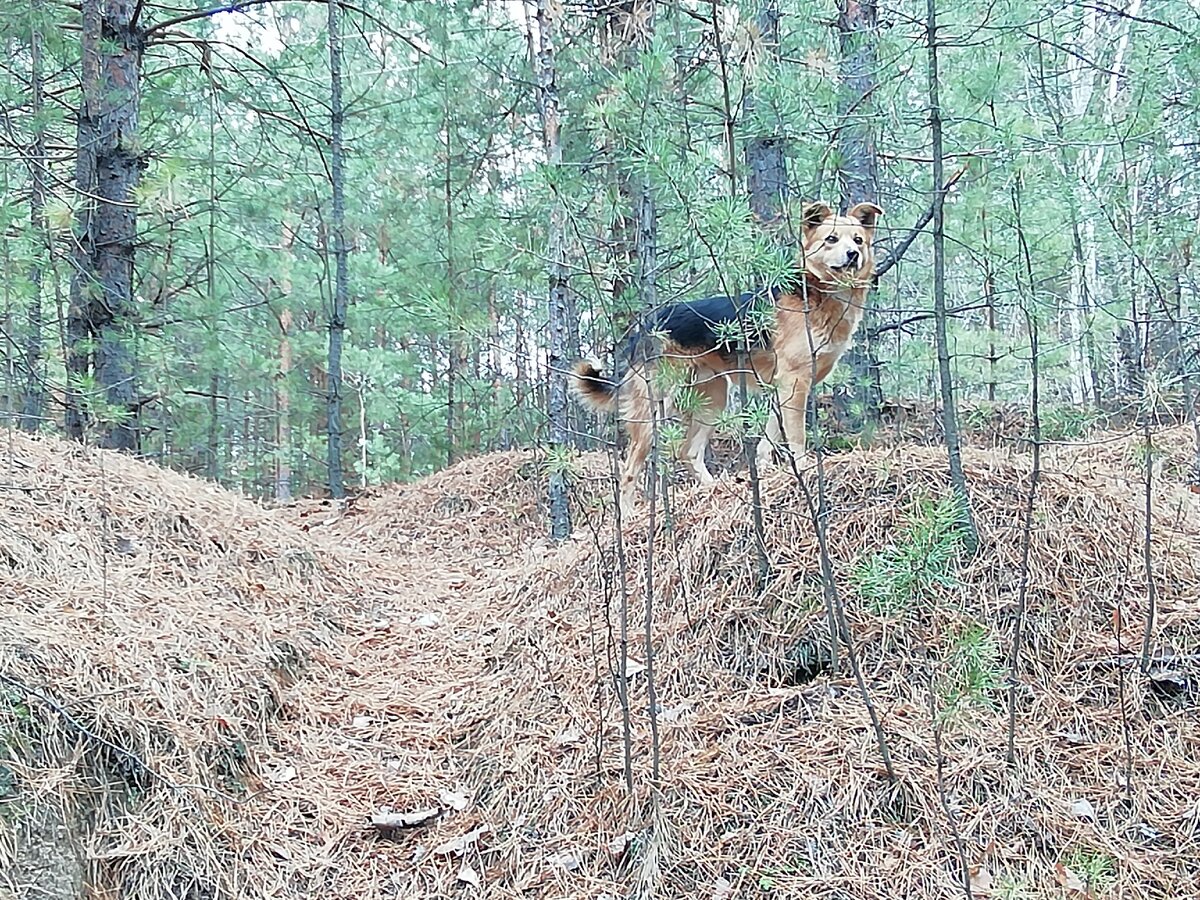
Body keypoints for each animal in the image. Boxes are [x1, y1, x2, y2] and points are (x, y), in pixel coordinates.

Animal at [571, 204, 883, 513]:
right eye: (831, 239)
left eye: (858, 240)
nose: (853, 255)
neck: (814, 295)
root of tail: (645, 327)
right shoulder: (794, 383)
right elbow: (796, 436)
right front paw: (803, 470)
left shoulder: (784, 387)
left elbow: (768, 439)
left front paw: (765, 473)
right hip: (654, 409)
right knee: (629, 470)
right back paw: (629, 515)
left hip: (712, 400)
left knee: (689, 452)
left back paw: (714, 489)